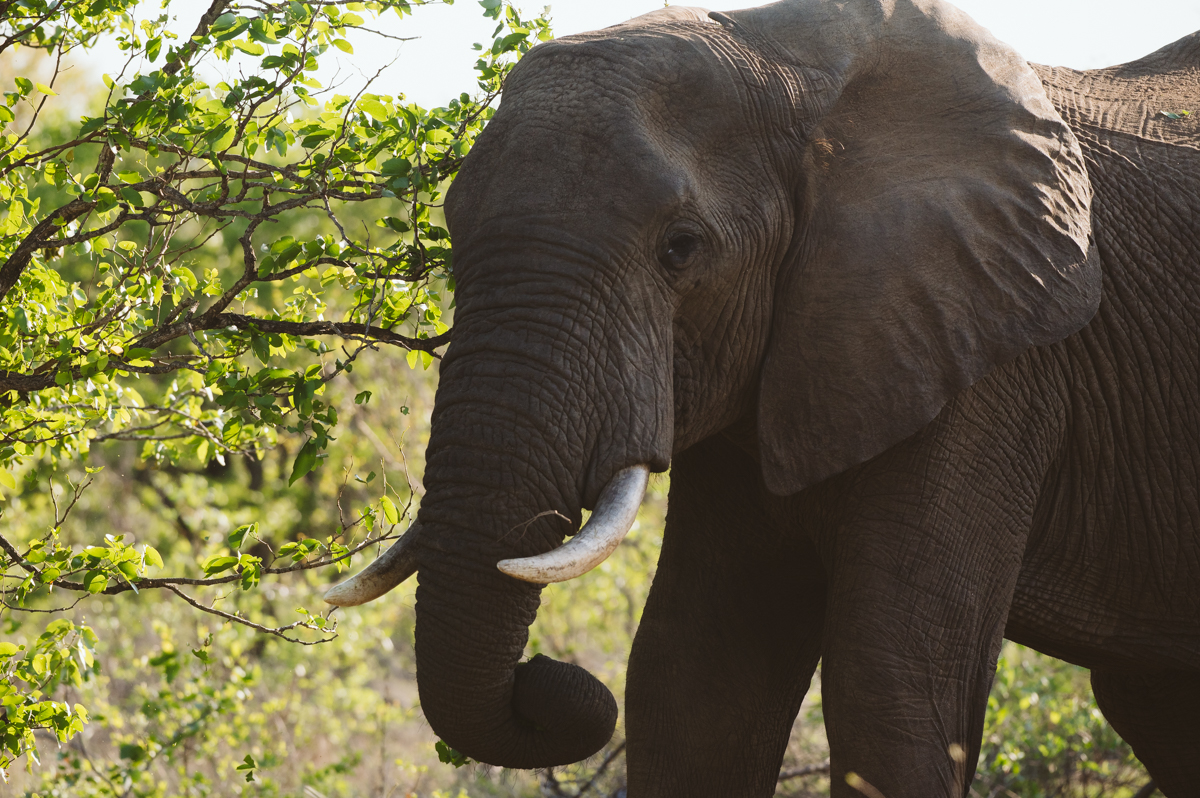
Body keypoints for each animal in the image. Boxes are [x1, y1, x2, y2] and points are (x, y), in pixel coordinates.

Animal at [324, 0, 1200, 794]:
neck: (792, 72)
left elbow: (893, 684)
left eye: (680, 250)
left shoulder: (994, 354)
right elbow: (694, 678)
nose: (549, 676)